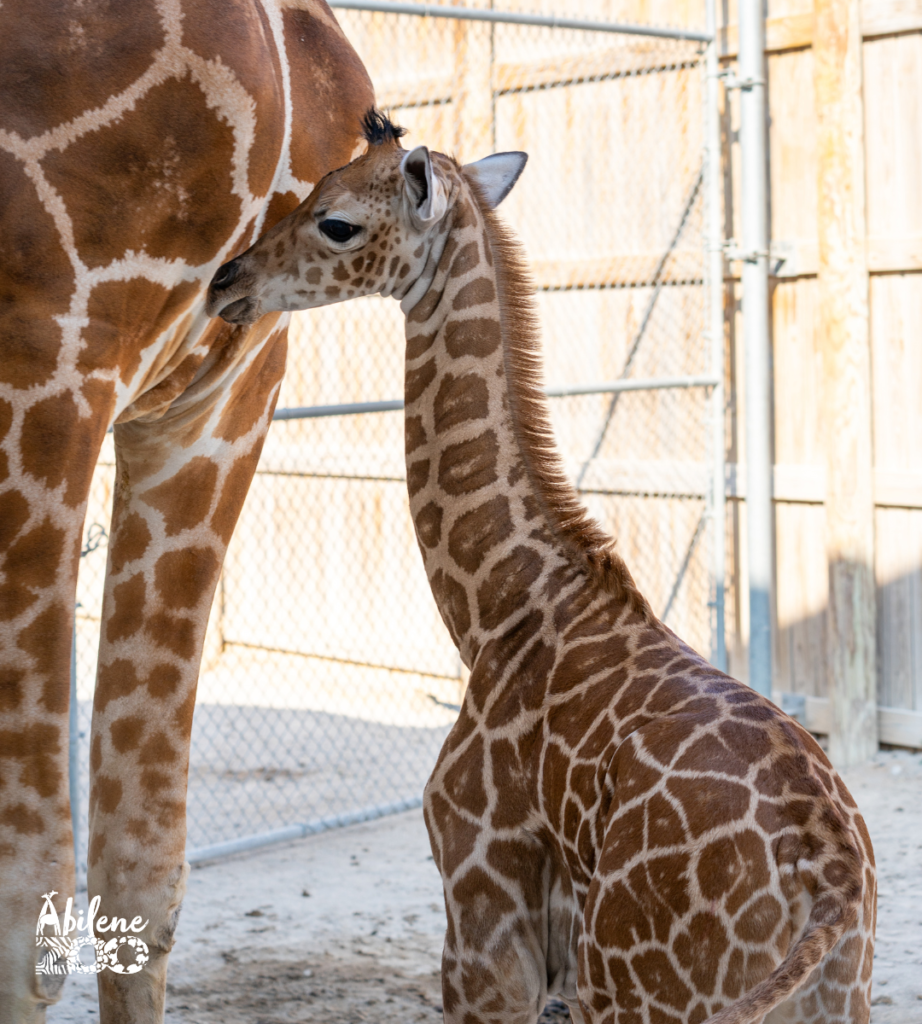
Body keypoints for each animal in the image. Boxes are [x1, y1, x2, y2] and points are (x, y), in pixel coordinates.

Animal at [204, 110, 876, 1024]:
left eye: (335, 221)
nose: (224, 281)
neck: (501, 607)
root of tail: (829, 886)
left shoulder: (481, 908)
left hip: (637, 984)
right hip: (832, 996)